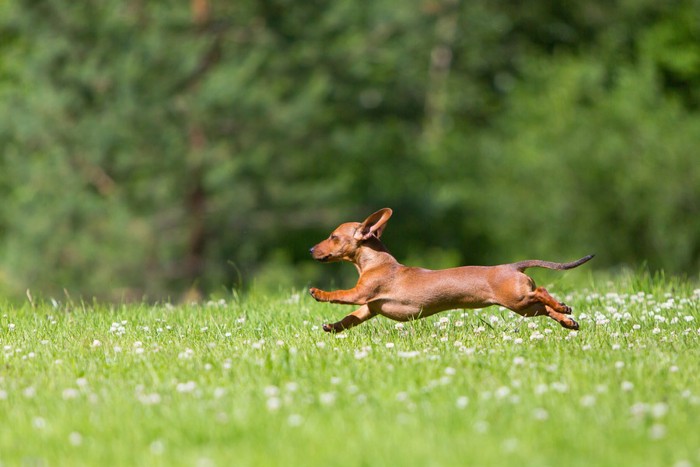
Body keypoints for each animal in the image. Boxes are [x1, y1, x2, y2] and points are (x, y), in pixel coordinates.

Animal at [308, 208, 592, 332]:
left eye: (333, 236)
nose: (311, 250)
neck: (376, 262)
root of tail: (512, 266)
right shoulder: (369, 307)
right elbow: (351, 318)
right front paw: (333, 327)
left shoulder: (360, 294)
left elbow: (338, 295)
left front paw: (318, 293)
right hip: (524, 307)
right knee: (543, 308)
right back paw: (567, 320)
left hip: (517, 299)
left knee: (542, 292)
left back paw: (562, 307)